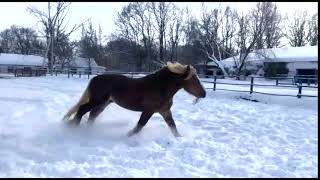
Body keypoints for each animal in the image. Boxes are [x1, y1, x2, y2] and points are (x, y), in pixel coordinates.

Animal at [62, 62, 206, 136]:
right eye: (193, 79)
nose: (204, 94)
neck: (160, 86)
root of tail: (94, 78)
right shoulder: (148, 111)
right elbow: (139, 126)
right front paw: (128, 135)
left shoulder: (165, 111)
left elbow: (173, 126)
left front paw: (179, 138)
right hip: (96, 101)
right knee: (82, 110)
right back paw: (74, 130)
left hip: (103, 104)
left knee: (91, 116)